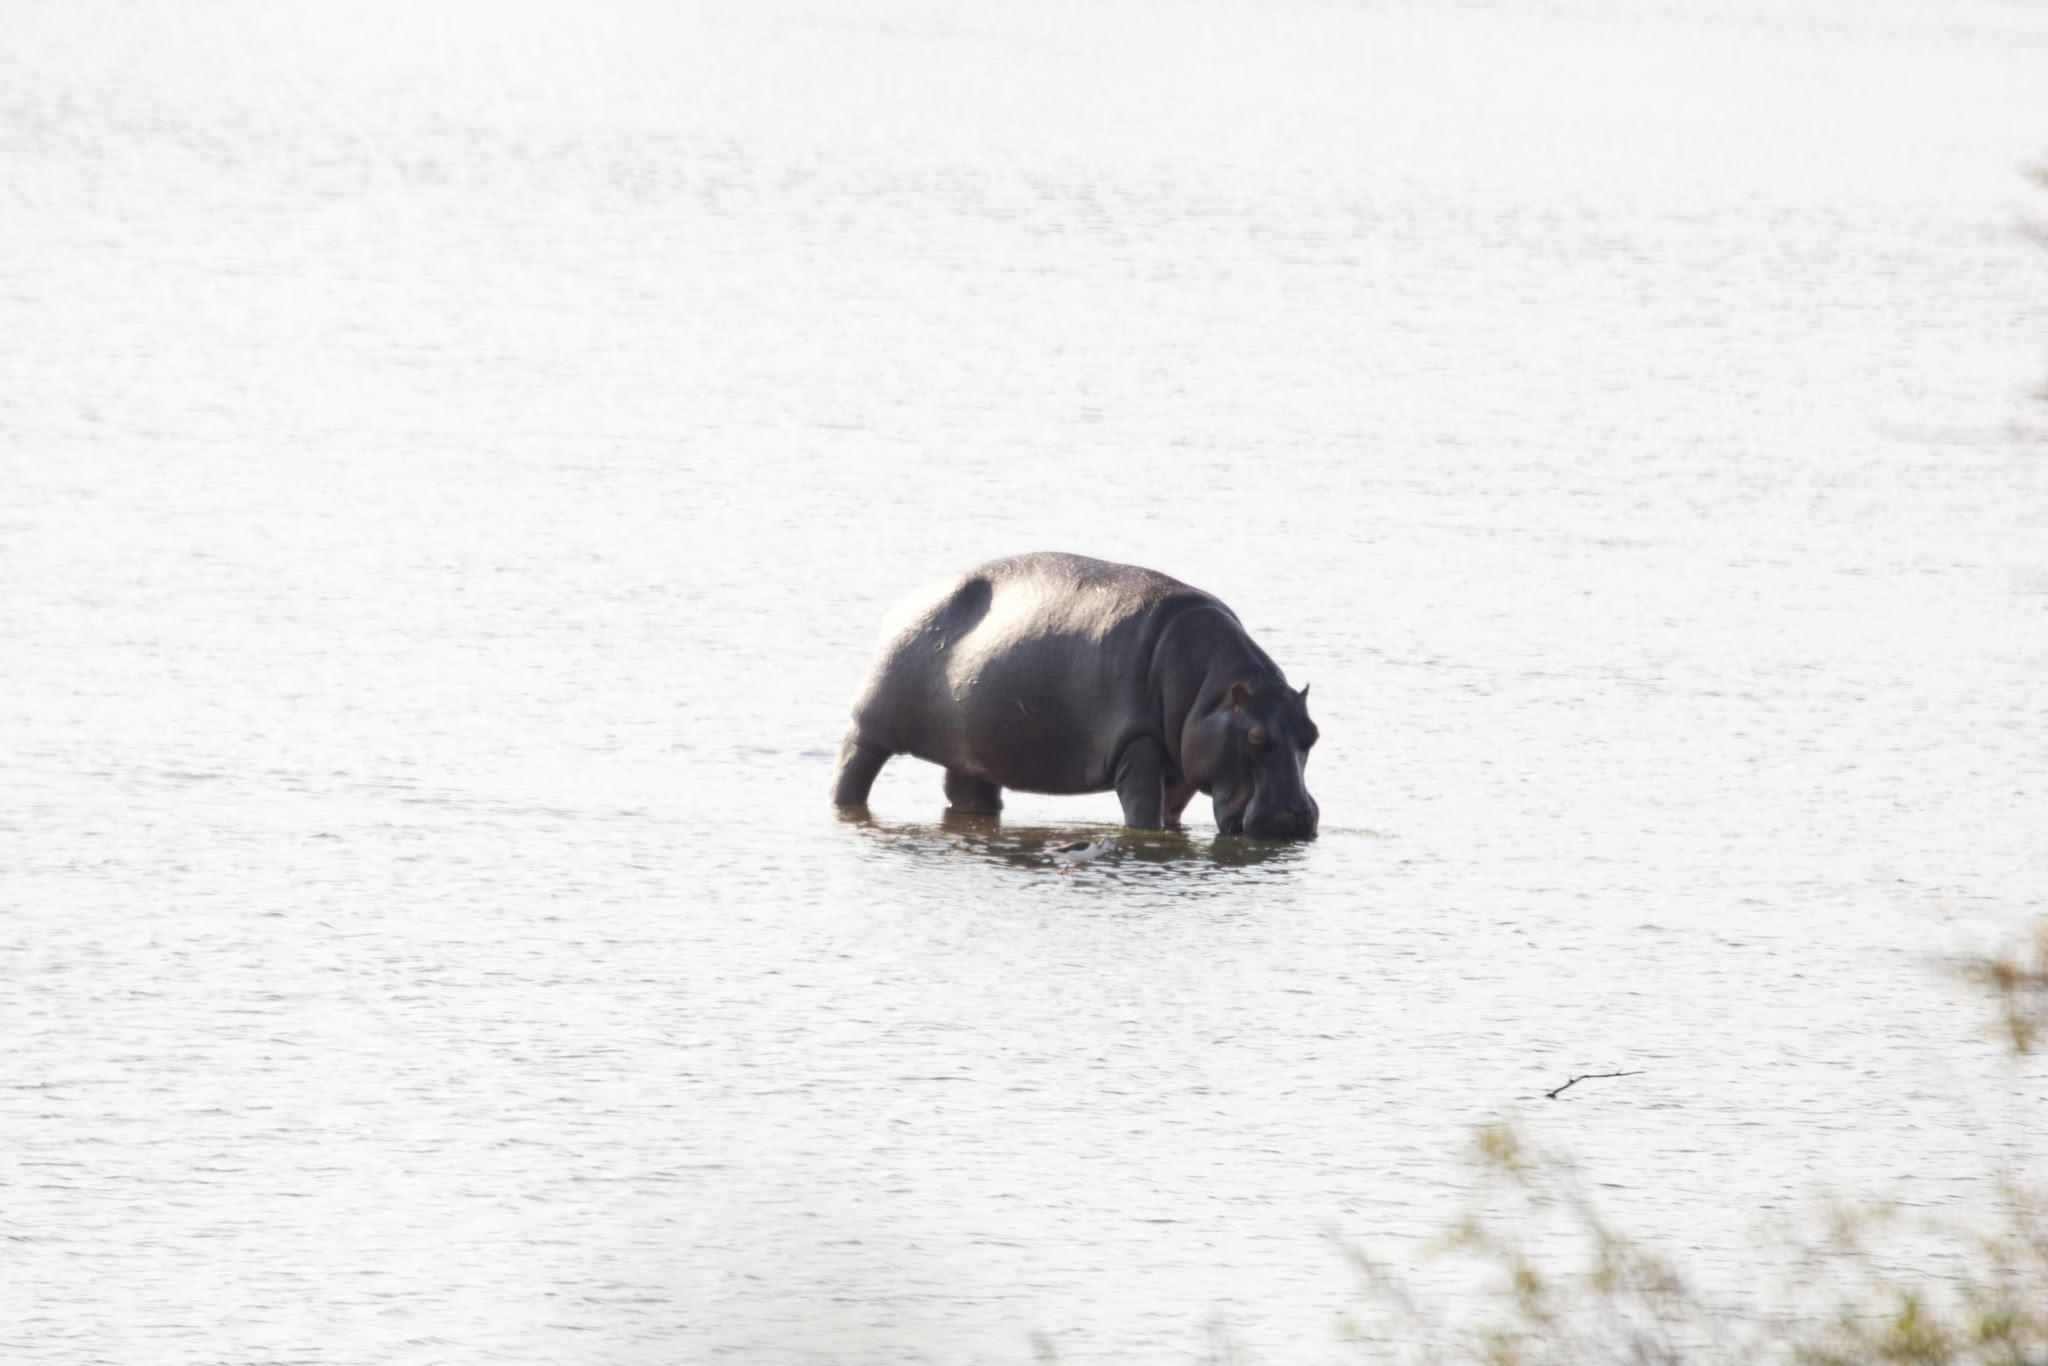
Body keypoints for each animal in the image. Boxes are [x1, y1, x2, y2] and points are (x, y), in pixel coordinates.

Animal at [831, 552, 1319, 838]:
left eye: (1312, 735)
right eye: (1254, 738)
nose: (1297, 816)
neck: (1212, 693)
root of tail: (908, 601)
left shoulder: (1183, 762)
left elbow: (1170, 810)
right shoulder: (1139, 744)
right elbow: (1143, 810)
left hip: (974, 746)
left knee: (969, 791)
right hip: (870, 725)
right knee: (853, 767)